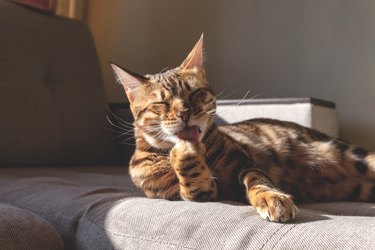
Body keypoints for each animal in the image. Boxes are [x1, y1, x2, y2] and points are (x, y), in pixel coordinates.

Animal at [111, 33, 375, 223]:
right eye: (161, 104)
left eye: (195, 94)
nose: (185, 113)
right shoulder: (196, 192)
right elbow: (194, 183)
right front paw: (184, 153)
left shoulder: (245, 163)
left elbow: (259, 182)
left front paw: (272, 199)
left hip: (354, 156)